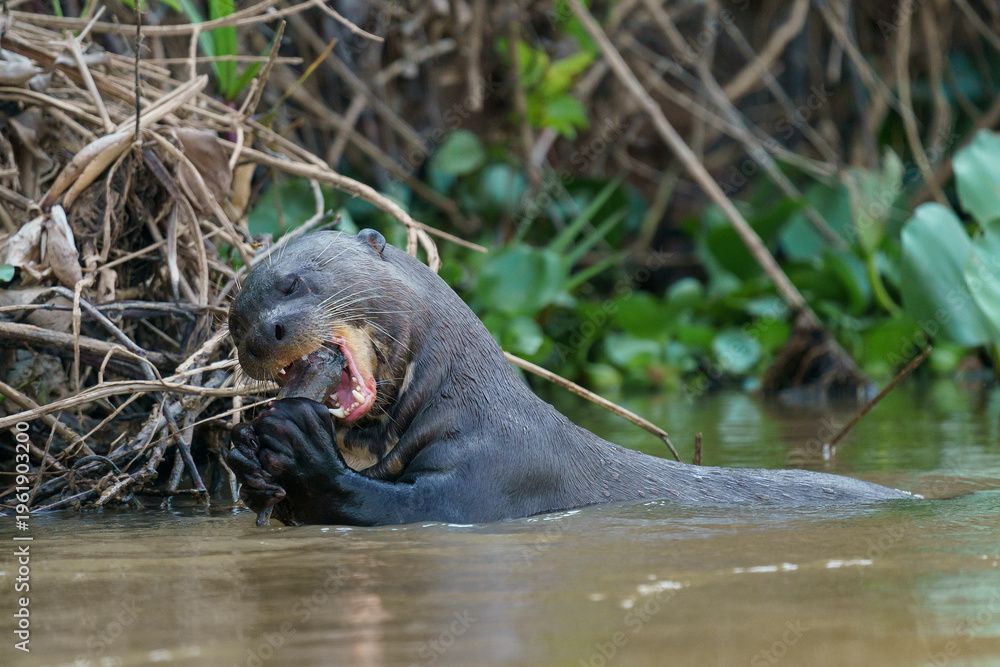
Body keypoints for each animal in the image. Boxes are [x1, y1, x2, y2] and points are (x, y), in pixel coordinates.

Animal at [225, 229, 912, 526]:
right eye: (234, 321)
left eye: (294, 283)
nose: (262, 334)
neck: (463, 402)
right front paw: (246, 455)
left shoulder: (494, 476)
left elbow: (388, 506)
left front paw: (300, 452)